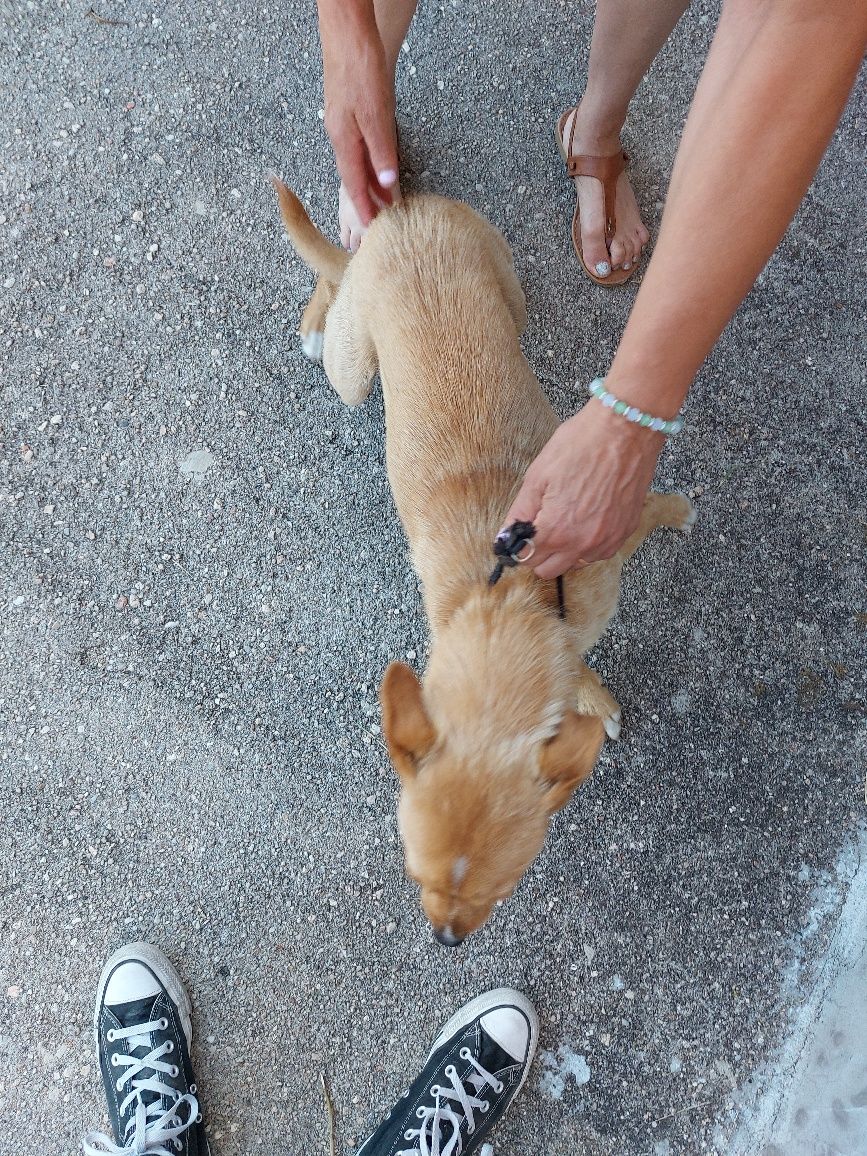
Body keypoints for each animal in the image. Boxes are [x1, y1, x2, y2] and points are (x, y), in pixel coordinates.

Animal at [271, 175, 693, 943]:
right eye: (416, 877)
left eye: (503, 891)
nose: (444, 940)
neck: (507, 597)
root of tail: (402, 213)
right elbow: (580, 667)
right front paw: (593, 700)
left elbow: (646, 518)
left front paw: (676, 512)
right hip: (356, 369)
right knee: (336, 288)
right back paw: (320, 313)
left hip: (501, 291)